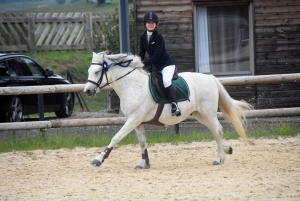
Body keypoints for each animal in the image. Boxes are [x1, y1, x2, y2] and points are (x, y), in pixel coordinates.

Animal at [83, 51, 252, 168]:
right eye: (89, 71)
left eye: (97, 72)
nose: (88, 91)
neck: (131, 85)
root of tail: (211, 78)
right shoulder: (138, 122)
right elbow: (142, 142)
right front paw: (144, 163)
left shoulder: (134, 119)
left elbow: (116, 137)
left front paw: (98, 159)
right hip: (199, 114)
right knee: (215, 131)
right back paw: (226, 150)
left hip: (208, 112)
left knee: (217, 130)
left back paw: (219, 158)